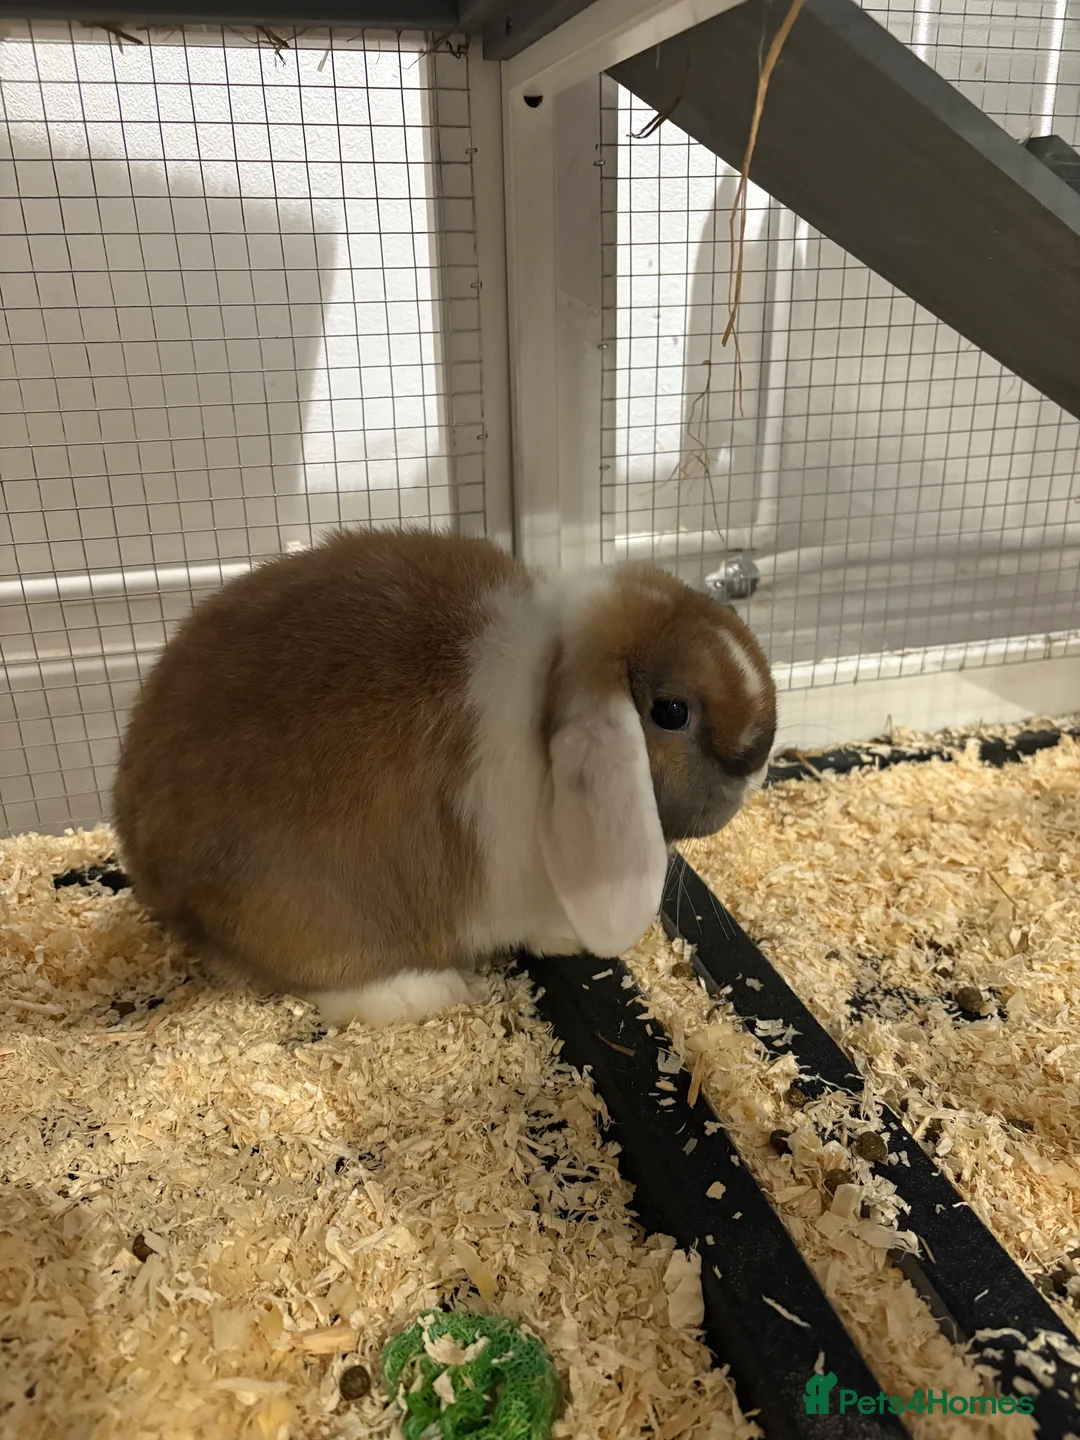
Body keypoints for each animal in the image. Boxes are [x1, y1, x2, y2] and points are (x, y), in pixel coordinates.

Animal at [113, 526, 776, 1028]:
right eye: (671, 712)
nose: (758, 765)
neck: (547, 688)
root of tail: (152, 874)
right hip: (309, 914)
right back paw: (428, 992)